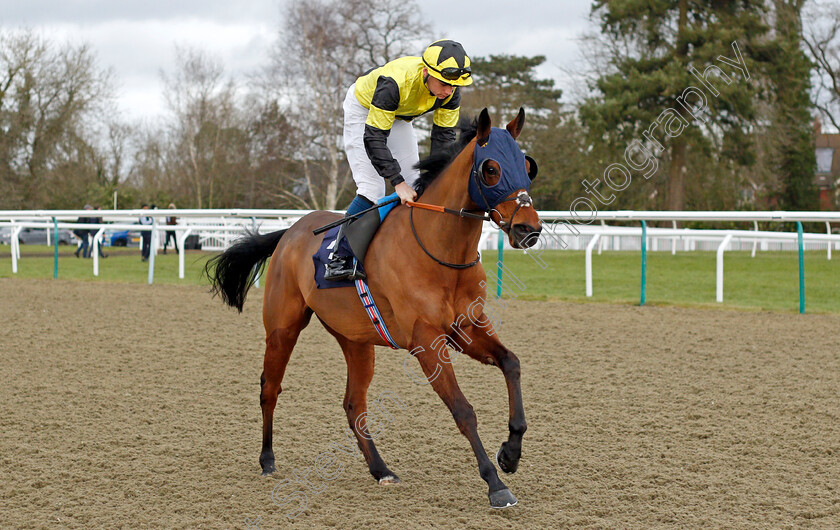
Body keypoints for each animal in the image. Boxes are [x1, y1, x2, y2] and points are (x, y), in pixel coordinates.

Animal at [207, 107, 540, 508]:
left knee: (354, 405)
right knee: (269, 388)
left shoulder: (466, 327)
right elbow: (463, 410)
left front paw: (511, 453)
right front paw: (495, 483)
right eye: (491, 169)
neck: (440, 249)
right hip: (283, 327)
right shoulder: (426, 341)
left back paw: (381, 469)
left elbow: (512, 363)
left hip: (355, 339)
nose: (528, 229)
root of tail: (290, 231)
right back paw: (268, 460)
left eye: (527, 165)